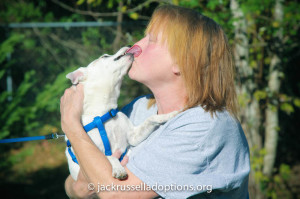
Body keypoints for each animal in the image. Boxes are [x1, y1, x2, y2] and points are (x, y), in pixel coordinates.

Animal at [63, 46, 176, 180]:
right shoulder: (97, 152)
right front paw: (118, 169)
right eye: (104, 56)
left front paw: (168, 115)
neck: (105, 114)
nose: (128, 45)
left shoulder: (133, 136)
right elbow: (110, 157)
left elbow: (151, 118)